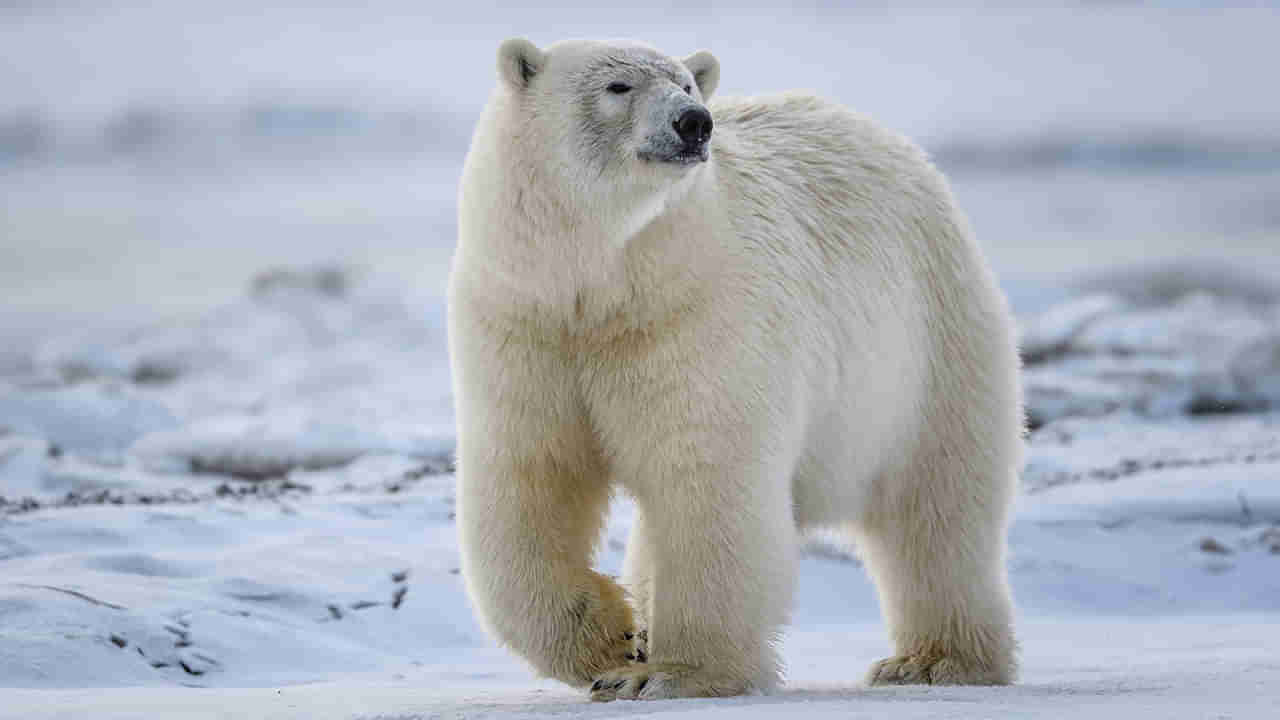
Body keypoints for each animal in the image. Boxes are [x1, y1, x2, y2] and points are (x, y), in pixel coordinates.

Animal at [448, 37, 1022, 701]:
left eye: (686, 85)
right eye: (618, 86)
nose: (694, 123)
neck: (602, 286)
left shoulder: (695, 316)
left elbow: (706, 475)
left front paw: (672, 673)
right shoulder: (524, 325)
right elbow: (530, 477)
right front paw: (612, 642)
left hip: (925, 347)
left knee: (937, 509)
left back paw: (932, 661)